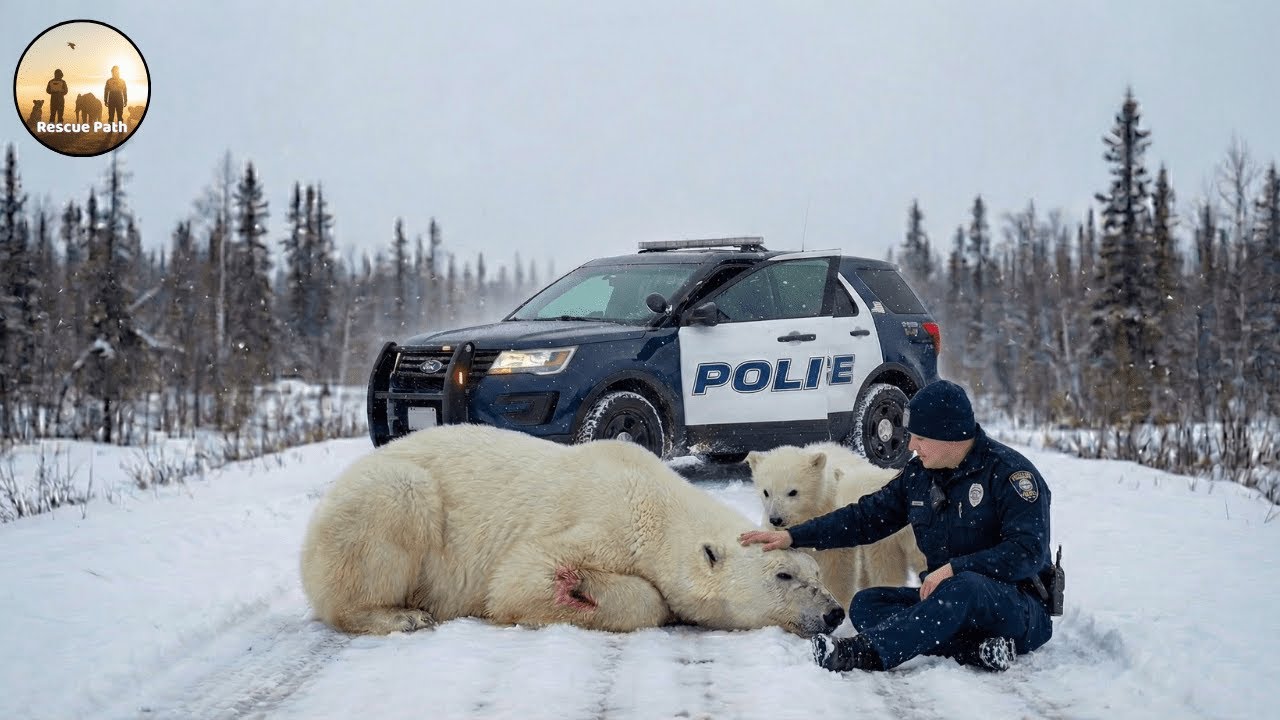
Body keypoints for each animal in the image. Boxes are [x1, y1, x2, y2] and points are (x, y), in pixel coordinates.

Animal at [300, 424, 844, 637]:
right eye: (784, 576)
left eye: (817, 573)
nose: (834, 612)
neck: (654, 502)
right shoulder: (603, 522)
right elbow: (520, 576)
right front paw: (577, 587)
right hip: (388, 496)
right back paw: (401, 615)